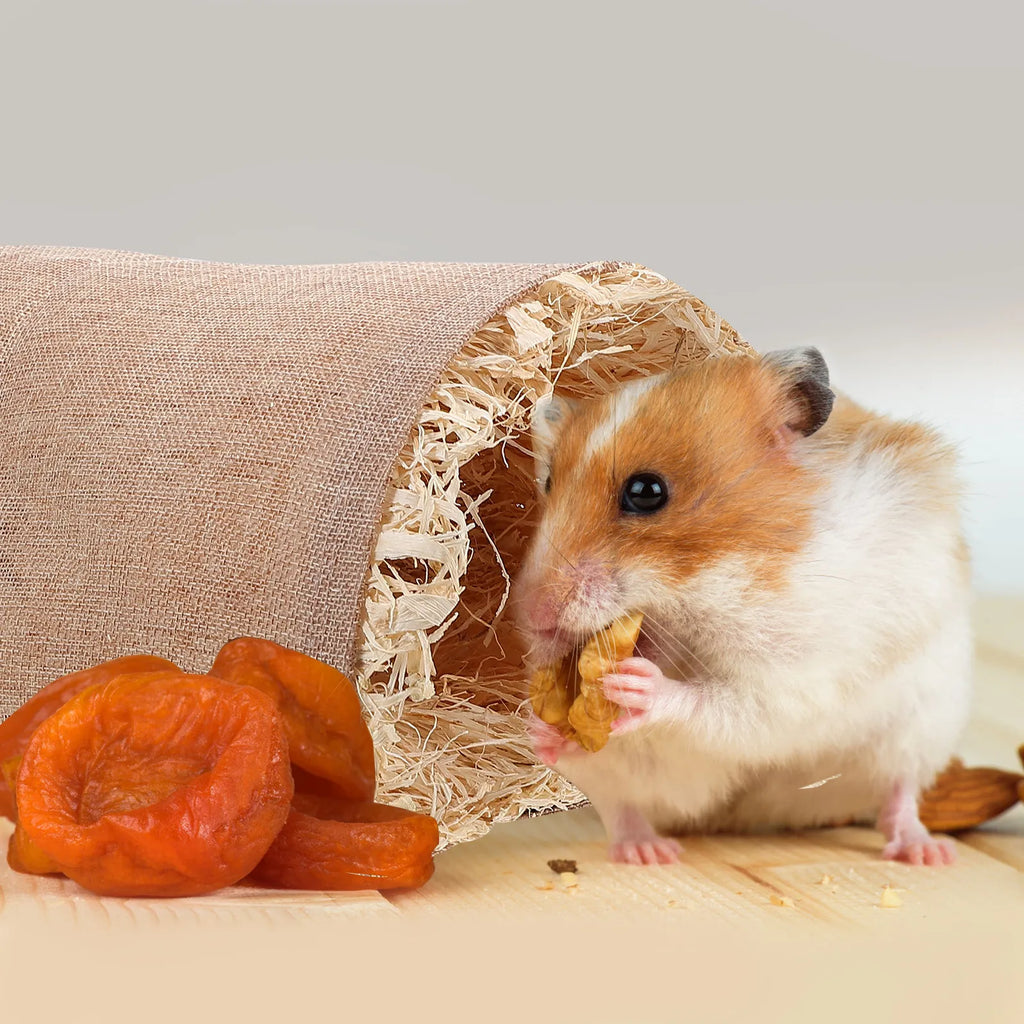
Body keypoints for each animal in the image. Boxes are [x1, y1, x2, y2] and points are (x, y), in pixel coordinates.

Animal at [513, 347, 972, 866]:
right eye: (549, 482)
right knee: (621, 804)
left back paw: (928, 853)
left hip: (922, 726)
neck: (709, 587)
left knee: (900, 792)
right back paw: (643, 847)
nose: (533, 617)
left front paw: (637, 684)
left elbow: (730, 704)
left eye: (646, 491)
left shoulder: (797, 673)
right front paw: (540, 720)